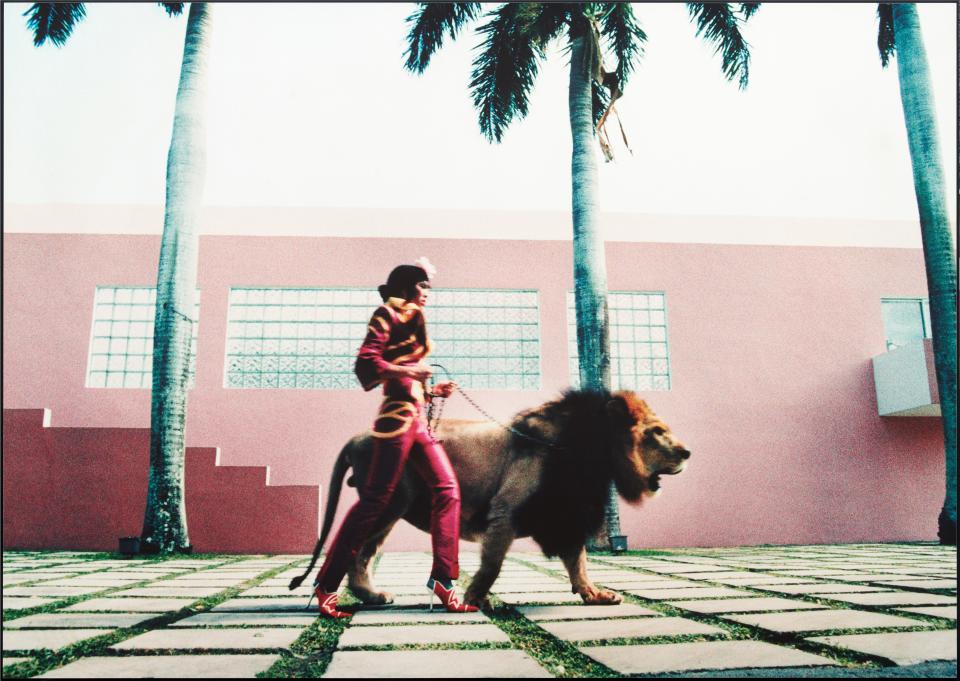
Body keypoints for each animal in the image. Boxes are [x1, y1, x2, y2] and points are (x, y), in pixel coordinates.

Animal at [290, 390, 688, 608]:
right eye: (655, 433)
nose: (687, 452)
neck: (586, 454)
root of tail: (358, 436)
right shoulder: (505, 510)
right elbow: (494, 563)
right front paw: (474, 600)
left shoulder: (565, 515)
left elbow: (579, 561)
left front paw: (594, 595)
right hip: (391, 500)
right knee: (358, 549)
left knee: (364, 550)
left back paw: (370, 597)